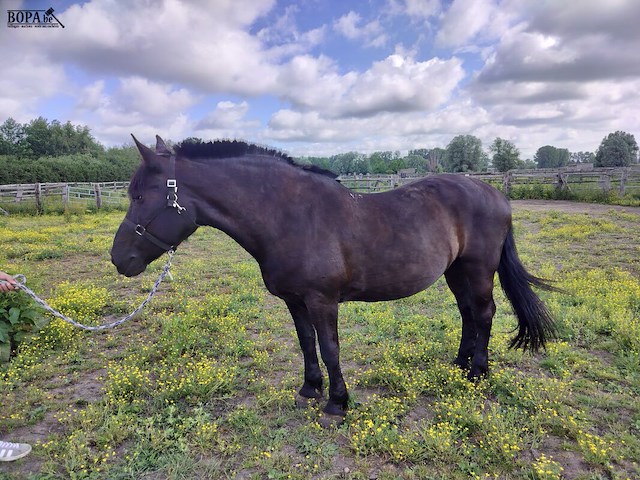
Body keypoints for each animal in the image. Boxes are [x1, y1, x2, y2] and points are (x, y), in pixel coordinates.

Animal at [111, 135, 557, 421]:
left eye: (141, 195)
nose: (119, 259)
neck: (289, 216)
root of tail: (495, 194)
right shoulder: (295, 300)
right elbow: (307, 344)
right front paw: (310, 390)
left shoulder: (322, 300)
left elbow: (330, 348)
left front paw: (337, 405)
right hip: (455, 271)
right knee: (467, 314)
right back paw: (459, 365)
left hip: (478, 270)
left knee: (483, 314)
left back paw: (478, 373)